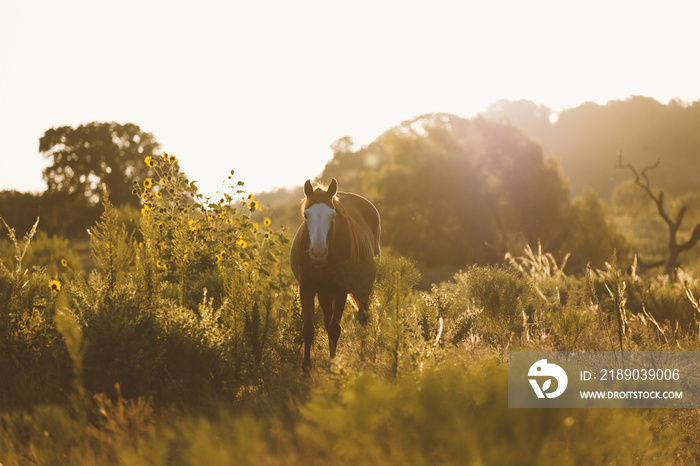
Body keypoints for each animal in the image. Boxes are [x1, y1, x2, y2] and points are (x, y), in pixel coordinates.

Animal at [288, 178, 380, 372]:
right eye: (306, 215)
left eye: (332, 215)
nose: (318, 253)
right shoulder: (306, 289)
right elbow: (309, 328)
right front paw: (306, 367)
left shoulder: (341, 291)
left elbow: (334, 329)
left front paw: (333, 366)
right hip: (325, 294)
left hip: (364, 286)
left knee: (363, 317)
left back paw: (362, 355)